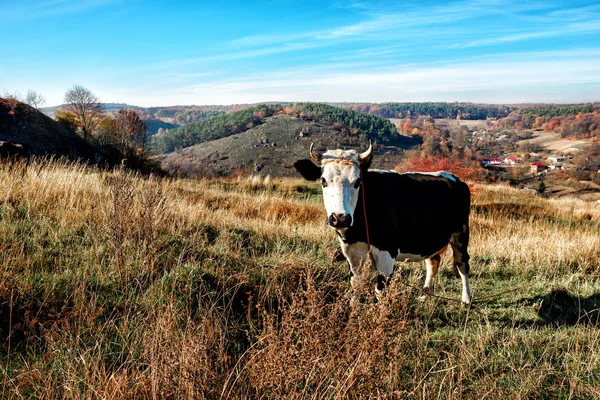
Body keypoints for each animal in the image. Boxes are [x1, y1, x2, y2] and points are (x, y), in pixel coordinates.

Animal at [296, 144, 474, 306]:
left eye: (357, 181)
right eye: (323, 180)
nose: (340, 218)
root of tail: (456, 179)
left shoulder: (387, 253)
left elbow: (380, 290)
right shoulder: (351, 250)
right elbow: (356, 282)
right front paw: (353, 305)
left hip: (460, 233)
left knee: (462, 263)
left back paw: (466, 301)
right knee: (433, 262)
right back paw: (425, 296)